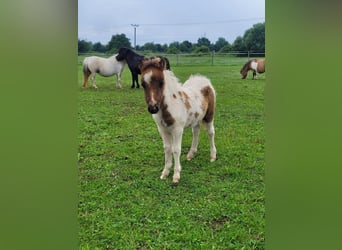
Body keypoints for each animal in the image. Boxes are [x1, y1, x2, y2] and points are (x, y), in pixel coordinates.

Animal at [139, 57, 216, 185]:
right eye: (143, 84)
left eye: (161, 82)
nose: (153, 108)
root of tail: (203, 79)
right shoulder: (162, 129)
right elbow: (167, 148)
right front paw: (165, 172)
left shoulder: (177, 130)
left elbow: (176, 149)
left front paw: (176, 175)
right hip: (196, 118)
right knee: (196, 132)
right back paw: (191, 154)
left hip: (209, 116)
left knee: (211, 132)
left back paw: (213, 156)